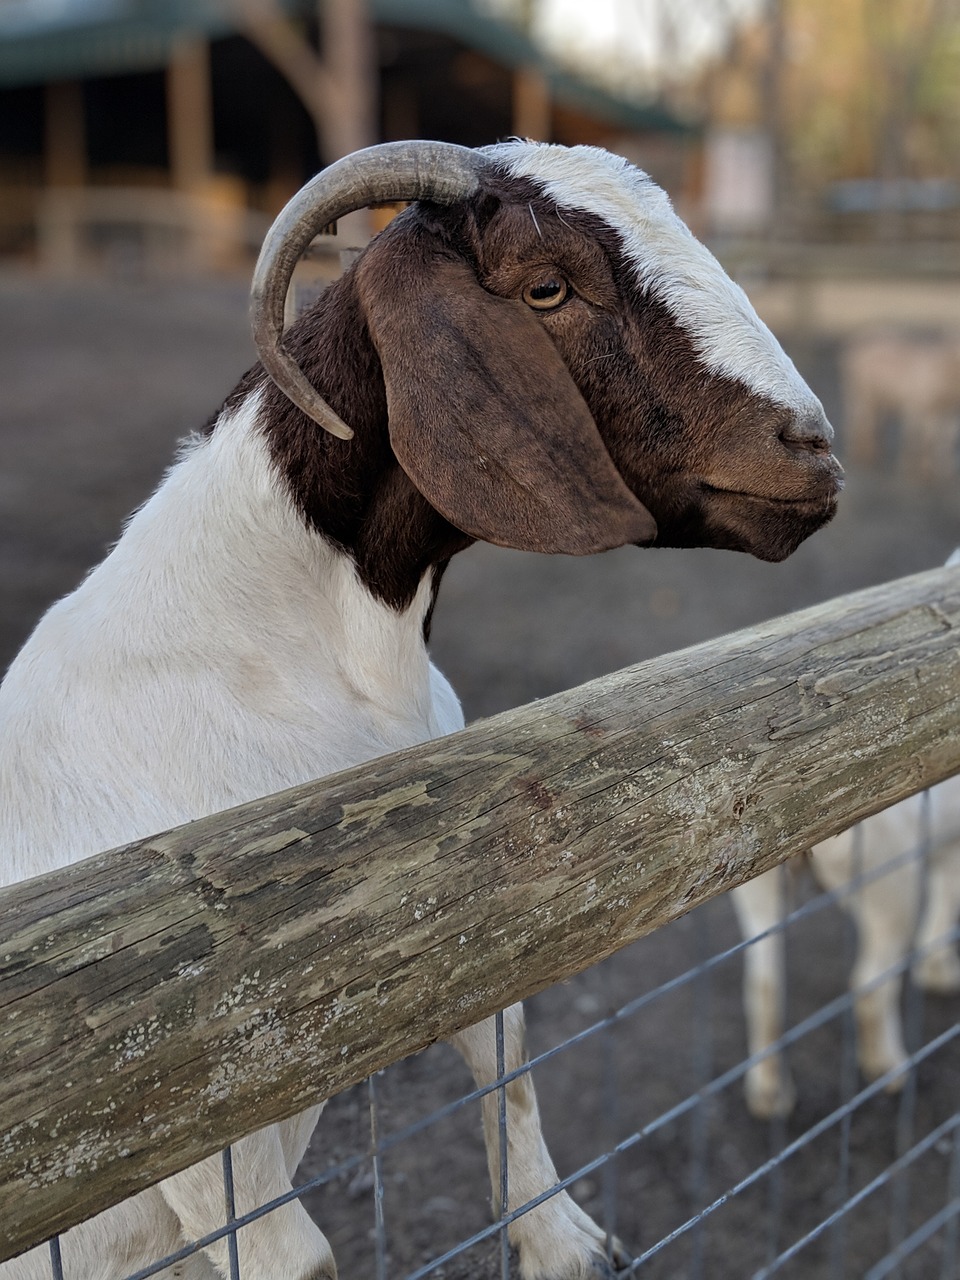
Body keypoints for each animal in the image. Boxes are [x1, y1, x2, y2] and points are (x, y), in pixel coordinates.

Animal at [0, 140, 839, 1280]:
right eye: (546, 287)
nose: (814, 448)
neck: (293, 650)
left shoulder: (446, 918)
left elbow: (509, 1063)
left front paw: (563, 1243)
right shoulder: (177, 1098)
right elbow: (299, 1255)